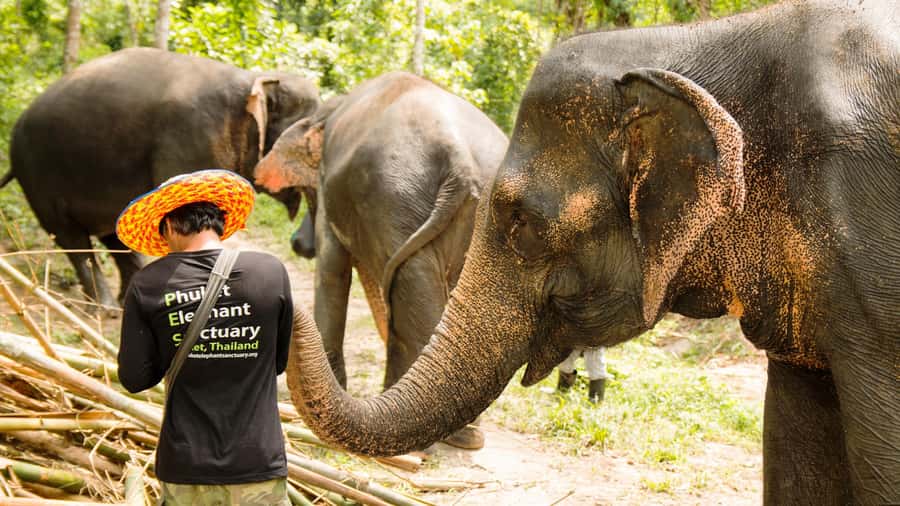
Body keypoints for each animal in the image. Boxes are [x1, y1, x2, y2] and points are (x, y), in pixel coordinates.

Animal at [4, 47, 320, 309]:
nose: (300, 244)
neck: (255, 78)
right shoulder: (192, 139)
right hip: (37, 176)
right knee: (70, 236)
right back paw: (106, 309)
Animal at [254, 71, 508, 448]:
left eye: (307, 193)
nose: (297, 245)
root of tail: (460, 160)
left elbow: (332, 270)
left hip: (393, 199)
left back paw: (451, 435)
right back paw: (463, 434)